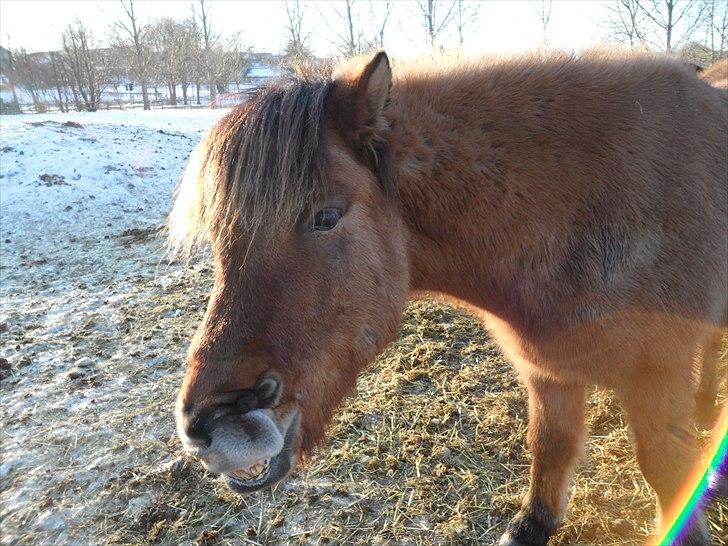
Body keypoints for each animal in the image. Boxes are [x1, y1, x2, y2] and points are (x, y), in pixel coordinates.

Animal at [167, 50, 727, 545]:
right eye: (219, 237)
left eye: (325, 216)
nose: (208, 428)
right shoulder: (548, 369)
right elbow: (550, 445)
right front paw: (532, 525)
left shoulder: (659, 374)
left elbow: (664, 467)